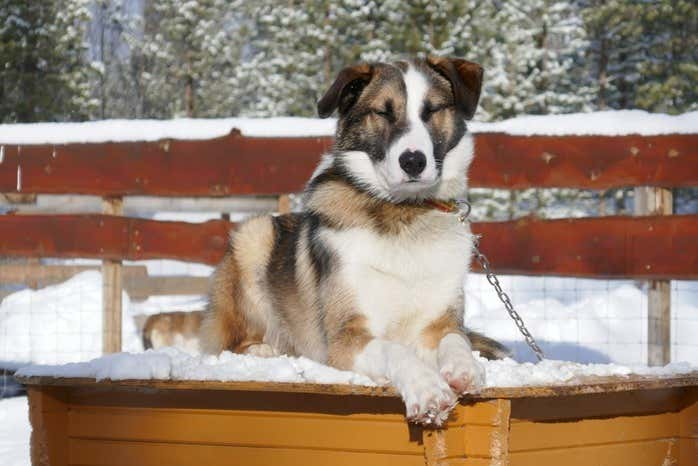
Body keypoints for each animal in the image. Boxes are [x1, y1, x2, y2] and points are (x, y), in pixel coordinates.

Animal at [201, 56, 506, 424]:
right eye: (383, 112)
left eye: (431, 110)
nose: (413, 161)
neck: (404, 214)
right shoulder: (348, 336)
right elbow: (395, 350)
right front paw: (428, 390)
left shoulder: (438, 322)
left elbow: (455, 340)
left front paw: (465, 368)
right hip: (254, 235)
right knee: (231, 341)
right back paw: (264, 350)